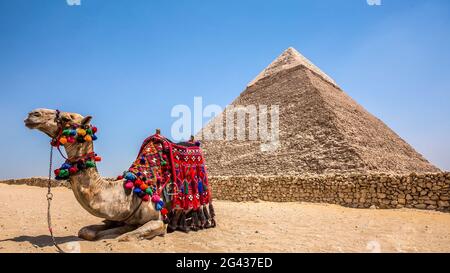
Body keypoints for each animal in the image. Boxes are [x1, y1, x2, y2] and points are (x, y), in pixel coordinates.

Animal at [23, 108, 217, 240]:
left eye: (66, 118)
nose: (33, 114)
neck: (130, 192)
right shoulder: (117, 217)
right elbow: (87, 231)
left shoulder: (158, 221)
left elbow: (126, 237)